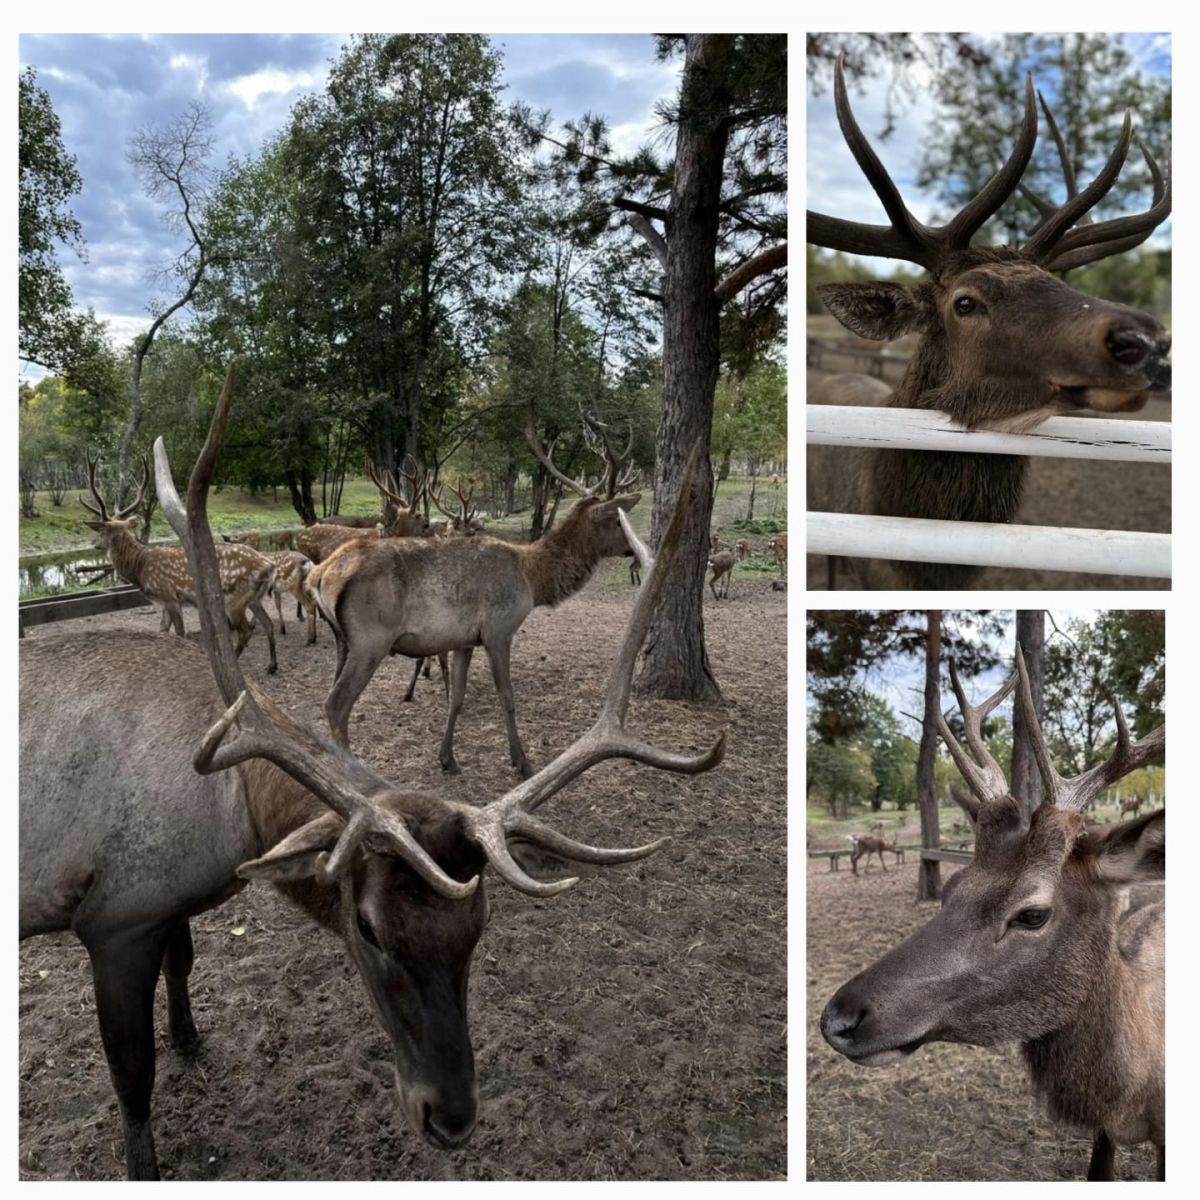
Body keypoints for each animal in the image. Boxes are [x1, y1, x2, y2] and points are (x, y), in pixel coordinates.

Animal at [78, 453, 279, 676]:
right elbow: (163, 631)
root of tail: (270, 565)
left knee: (246, 631)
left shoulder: (169, 595)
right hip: (254, 598)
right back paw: (271, 665)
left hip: (236, 599)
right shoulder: (164, 601)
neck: (140, 568)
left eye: (101, 531)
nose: (95, 544)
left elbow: (180, 632)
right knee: (268, 624)